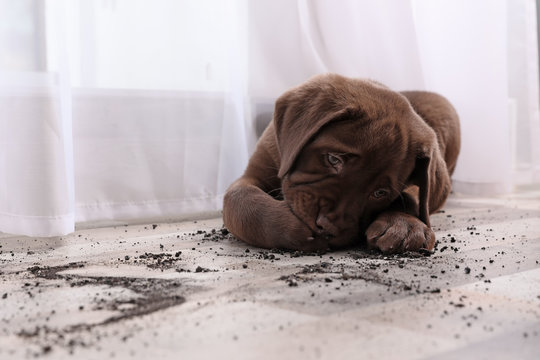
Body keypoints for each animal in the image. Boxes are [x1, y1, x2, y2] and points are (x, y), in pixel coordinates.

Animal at [224, 73, 460, 253]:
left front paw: (404, 225)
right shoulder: (253, 172)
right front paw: (289, 227)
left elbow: (412, 196)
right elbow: (239, 199)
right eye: (333, 159)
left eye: (380, 193)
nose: (327, 228)